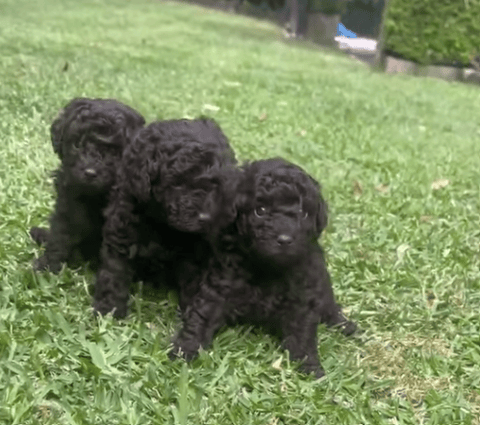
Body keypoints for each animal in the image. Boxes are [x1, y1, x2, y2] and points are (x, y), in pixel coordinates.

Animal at [31, 97, 145, 272]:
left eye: (114, 152)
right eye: (77, 145)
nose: (90, 173)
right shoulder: (68, 205)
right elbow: (60, 235)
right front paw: (47, 266)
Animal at [92, 117, 238, 316]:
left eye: (219, 183)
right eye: (178, 181)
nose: (207, 217)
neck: (163, 223)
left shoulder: (195, 254)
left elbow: (194, 284)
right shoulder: (121, 231)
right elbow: (113, 274)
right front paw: (108, 311)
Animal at [171, 157, 354, 376]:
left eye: (302, 213)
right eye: (260, 211)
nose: (284, 239)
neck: (268, 265)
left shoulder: (304, 290)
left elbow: (303, 329)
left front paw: (309, 365)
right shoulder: (220, 284)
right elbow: (203, 314)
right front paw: (186, 348)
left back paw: (343, 323)